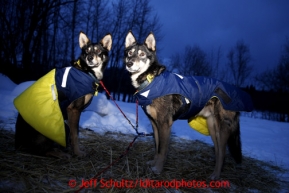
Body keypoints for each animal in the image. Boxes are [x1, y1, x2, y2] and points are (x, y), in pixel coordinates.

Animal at [124, 30, 252, 179]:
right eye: (129, 53)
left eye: (142, 54)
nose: (129, 63)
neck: (151, 80)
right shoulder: (155, 124)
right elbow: (157, 147)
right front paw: (153, 164)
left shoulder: (165, 124)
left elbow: (162, 150)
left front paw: (158, 169)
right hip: (213, 129)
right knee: (218, 152)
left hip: (222, 130)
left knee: (222, 154)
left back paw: (215, 176)